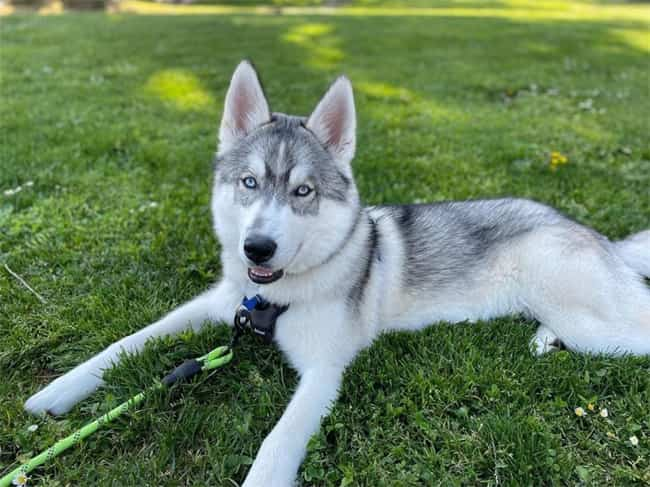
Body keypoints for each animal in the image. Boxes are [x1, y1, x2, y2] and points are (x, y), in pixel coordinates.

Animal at [25, 62, 648, 487]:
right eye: (249, 182)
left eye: (303, 191)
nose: (258, 246)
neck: (272, 300)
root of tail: (591, 233)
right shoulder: (219, 303)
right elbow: (128, 342)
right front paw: (57, 392)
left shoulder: (324, 371)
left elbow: (276, 444)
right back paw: (544, 338)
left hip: (593, 321)